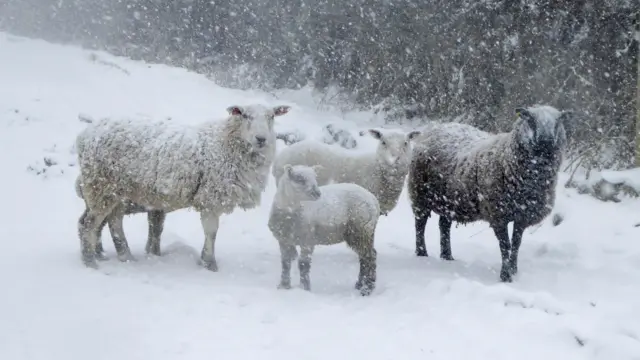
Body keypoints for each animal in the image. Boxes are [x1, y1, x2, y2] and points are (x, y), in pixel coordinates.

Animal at [75, 102, 292, 268]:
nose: (261, 139)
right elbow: (211, 232)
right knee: (89, 224)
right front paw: (209, 263)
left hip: (117, 191)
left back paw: (124, 256)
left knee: (112, 221)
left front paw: (205, 260)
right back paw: (90, 262)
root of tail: (84, 135)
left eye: (271, 116)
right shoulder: (211, 198)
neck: (227, 142)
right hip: (101, 186)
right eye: (246, 115)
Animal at [268, 165, 380, 296]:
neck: (290, 213)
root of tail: (373, 199)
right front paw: (284, 286)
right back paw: (359, 285)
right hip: (366, 231)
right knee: (365, 257)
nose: (317, 194)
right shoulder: (284, 240)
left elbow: (303, 264)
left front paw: (304, 288)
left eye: (315, 177)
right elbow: (285, 263)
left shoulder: (307, 241)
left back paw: (366, 289)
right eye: (300, 179)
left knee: (369, 257)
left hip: (360, 229)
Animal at [408, 105, 572, 282]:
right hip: (420, 193)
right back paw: (422, 253)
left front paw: (514, 270)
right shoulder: (498, 214)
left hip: (449, 201)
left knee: (444, 225)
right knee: (420, 224)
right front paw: (505, 276)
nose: (546, 141)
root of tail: (432, 129)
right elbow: (505, 245)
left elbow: (516, 244)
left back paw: (447, 257)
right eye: (530, 120)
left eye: (558, 122)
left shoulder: (522, 215)